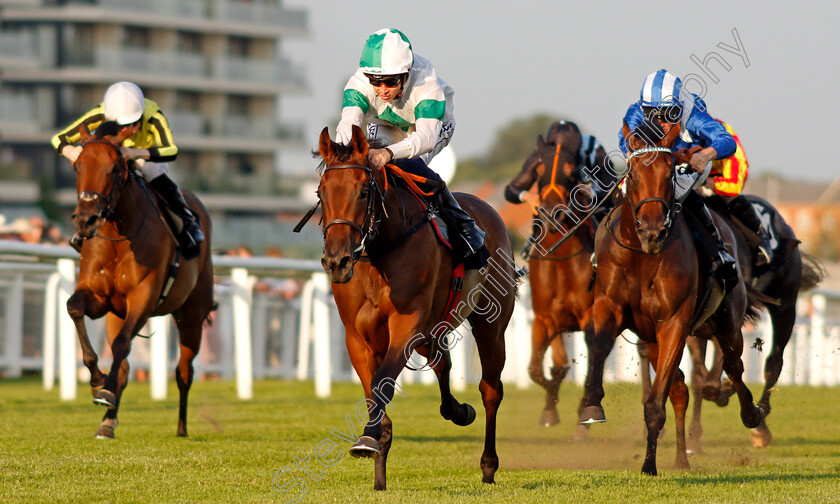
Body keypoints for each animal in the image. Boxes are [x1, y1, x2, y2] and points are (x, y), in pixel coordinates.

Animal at [67, 124, 215, 440]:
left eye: (114, 168)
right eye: (78, 166)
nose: (86, 220)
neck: (119, 234)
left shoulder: (144, 297)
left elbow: (123, 343)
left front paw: (103, 390)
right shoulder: (99, 298)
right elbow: (74, 308)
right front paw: (98, 381)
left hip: (192, 316)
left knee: (184, 372)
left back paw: (182, 428)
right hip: (116, 315)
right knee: (124, 367)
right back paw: (107, 422)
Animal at [314, 124, 516, 490]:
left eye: (363, 192)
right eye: (322, 192)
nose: (337, 261)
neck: (378, 251)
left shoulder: (406, 325)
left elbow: (382, 382)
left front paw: (367, 439)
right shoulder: (357, 337)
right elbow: (375, 393)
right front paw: (378, 472)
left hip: (490, 325)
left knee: (491, 390)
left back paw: (488, 465)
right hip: (431, 330)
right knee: (442, 363)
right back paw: (457, 411)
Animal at [576, 122, 768, 476]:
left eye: (669, 174)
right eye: (633, 174)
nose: (652, 231)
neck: (643, 256)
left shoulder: (674, 322)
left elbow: (656, 401)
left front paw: (649, 465)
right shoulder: (609, 306)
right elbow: (598, 345)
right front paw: (591, 406)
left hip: (726, 319)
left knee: (732, 366)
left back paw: (750, 415)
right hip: (651, 338)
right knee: (680, 389)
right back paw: (681, 457)